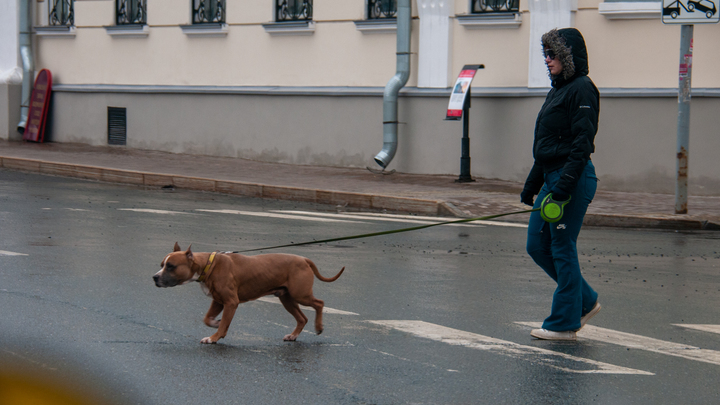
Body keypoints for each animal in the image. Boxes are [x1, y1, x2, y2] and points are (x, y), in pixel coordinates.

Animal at [153, 241, 344, 342]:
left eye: (171, 266)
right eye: (162, 265)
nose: (154, 277)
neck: (208, 264)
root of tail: (304, 259)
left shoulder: (230, 302)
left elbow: (223, 324)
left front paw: (214, 337)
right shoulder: (218, 301)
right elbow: (207, 318)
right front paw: (215, 323)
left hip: (300, 295)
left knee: (319, 303)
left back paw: (318, 327)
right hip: (287, 299)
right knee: (302, 318)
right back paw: (293, 335)